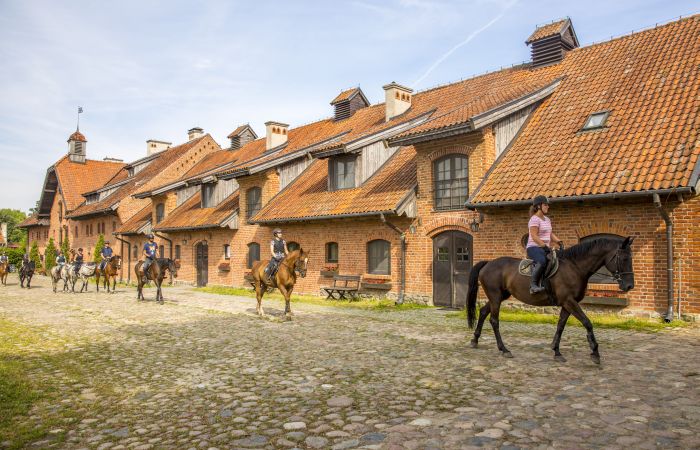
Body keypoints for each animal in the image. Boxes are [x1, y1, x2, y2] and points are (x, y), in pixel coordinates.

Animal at [468, 237, 636, 364]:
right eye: (624, 258)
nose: (629, 285)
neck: (574, 267)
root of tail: (488, 263)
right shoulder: (569, 301)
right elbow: (587, 322)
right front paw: (594, 351)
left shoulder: (567, 304)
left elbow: (560, 326)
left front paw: (556, 351)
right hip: (496, 296)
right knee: (494, 320)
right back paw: (504, 349)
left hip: (499, 296)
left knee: (483, 312)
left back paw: (475, 340)